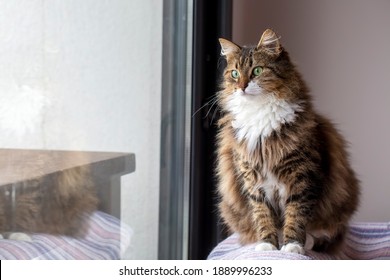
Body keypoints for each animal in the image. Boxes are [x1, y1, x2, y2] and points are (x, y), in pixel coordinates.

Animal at [216, 29, 360, 255]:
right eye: (235, 74)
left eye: (257, 71)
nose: (241, 87)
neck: (260, 114)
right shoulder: (253, 180)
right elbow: (263, 215)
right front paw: (267, 245)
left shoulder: (303, 177)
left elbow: (296, 215)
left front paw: (292, 246)